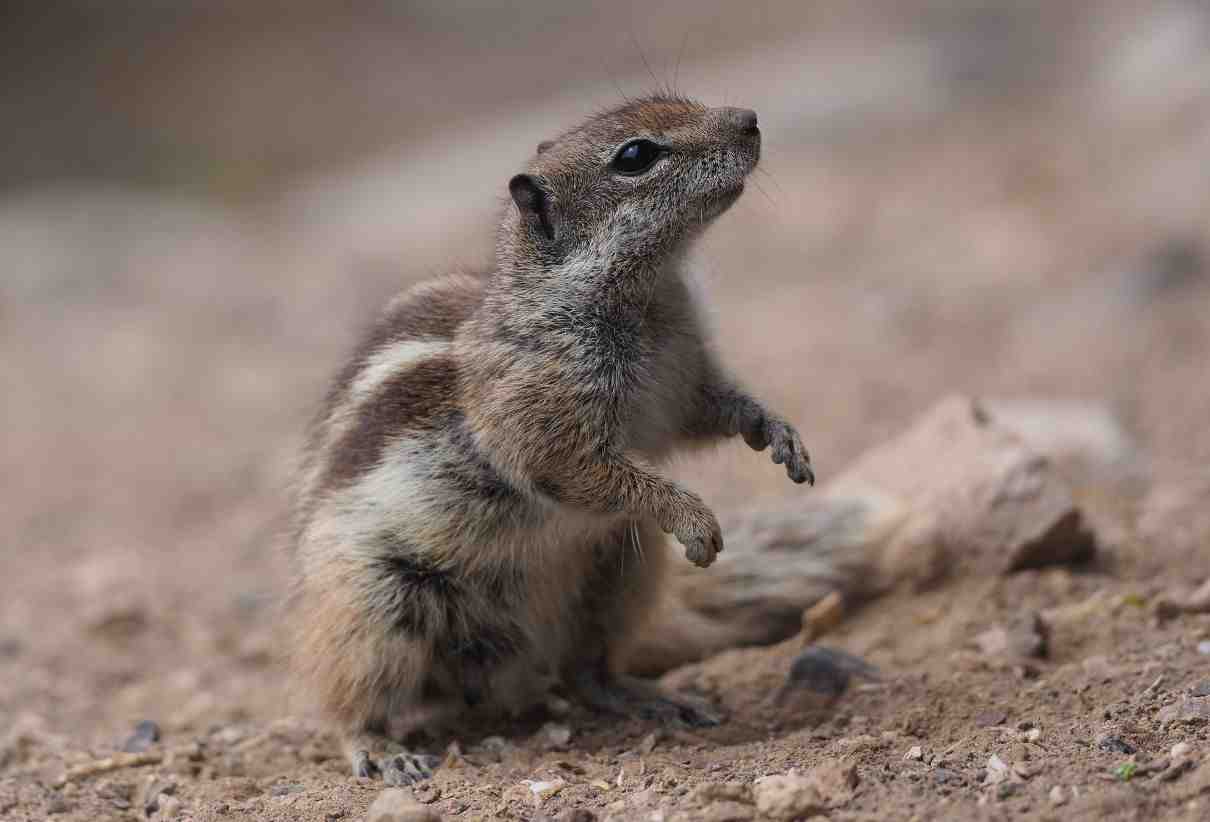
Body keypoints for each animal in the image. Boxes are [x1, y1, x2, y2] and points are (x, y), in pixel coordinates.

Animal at [287, 96, 813, 784]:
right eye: (636, 156)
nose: (749, 118)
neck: (646, 298)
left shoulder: (682, 387)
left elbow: (716, 412)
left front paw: (778, 434)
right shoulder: (544, 421)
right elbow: (582, 469)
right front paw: (693, 518)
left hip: (618, 570)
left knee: (583, 671)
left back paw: (645, 698)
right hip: (375, 610)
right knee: (345, 700)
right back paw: (380, 750)